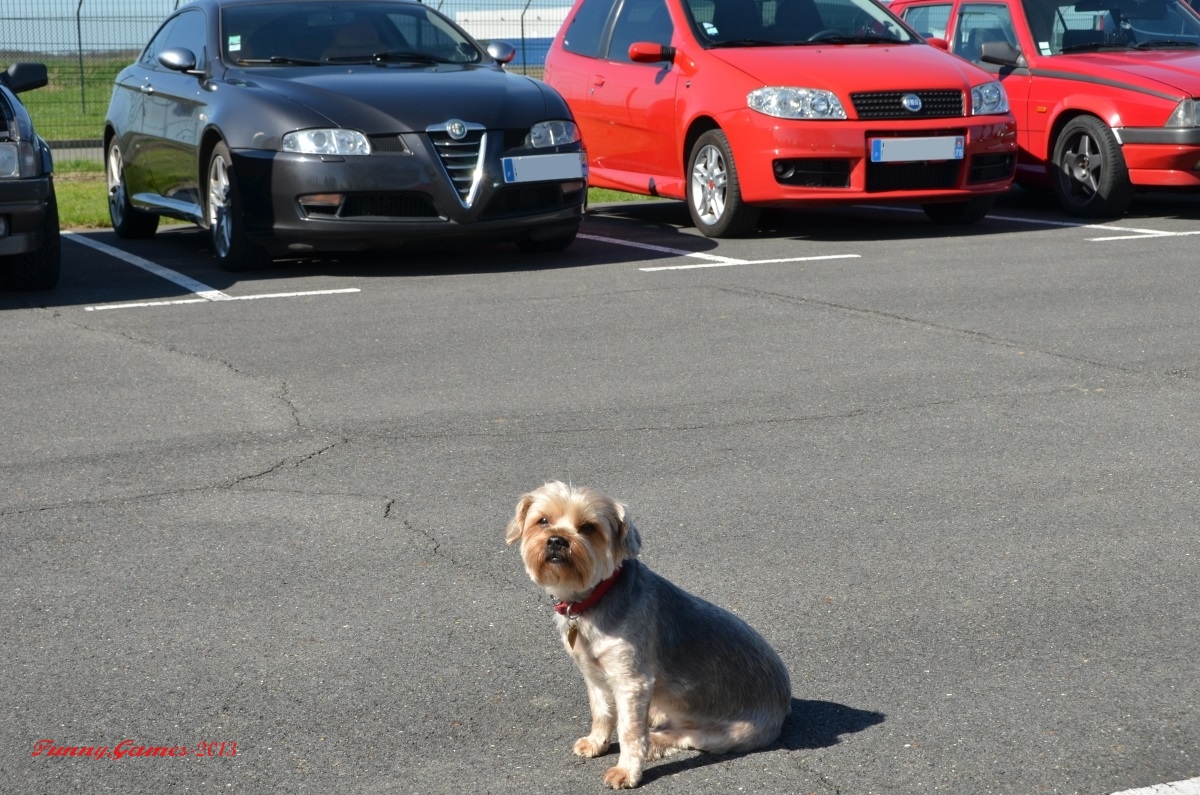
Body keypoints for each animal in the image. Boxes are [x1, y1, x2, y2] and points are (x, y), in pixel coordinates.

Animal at [504, 480, 792, 792]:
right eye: (543, 520)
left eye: (588, 527)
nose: (556, 540)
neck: (592, 599)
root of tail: (784, 703)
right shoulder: (594, 673)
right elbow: (601, 710)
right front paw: (596, 742)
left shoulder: (631, 680)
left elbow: (630, 731)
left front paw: (627, 771)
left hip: (733, 731)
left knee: (683, 735)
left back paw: (653, 741)